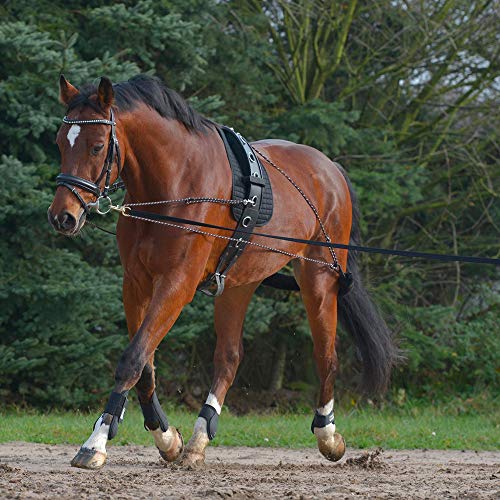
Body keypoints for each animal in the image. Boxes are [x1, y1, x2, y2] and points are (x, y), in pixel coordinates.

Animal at [47, 74, 398, 468]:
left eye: (96, 146)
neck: (174, 183)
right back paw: (201, 435)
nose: (63, 216)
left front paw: (96, 441)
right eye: (60, 142)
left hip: (318, 279)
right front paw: (166, 437)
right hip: (238, 284)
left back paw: (327, 433)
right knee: (228, 358)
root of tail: (331, 169)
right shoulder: (135, 283)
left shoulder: (176, 284)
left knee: (326, 355)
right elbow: (145, 363)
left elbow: (132, 358)